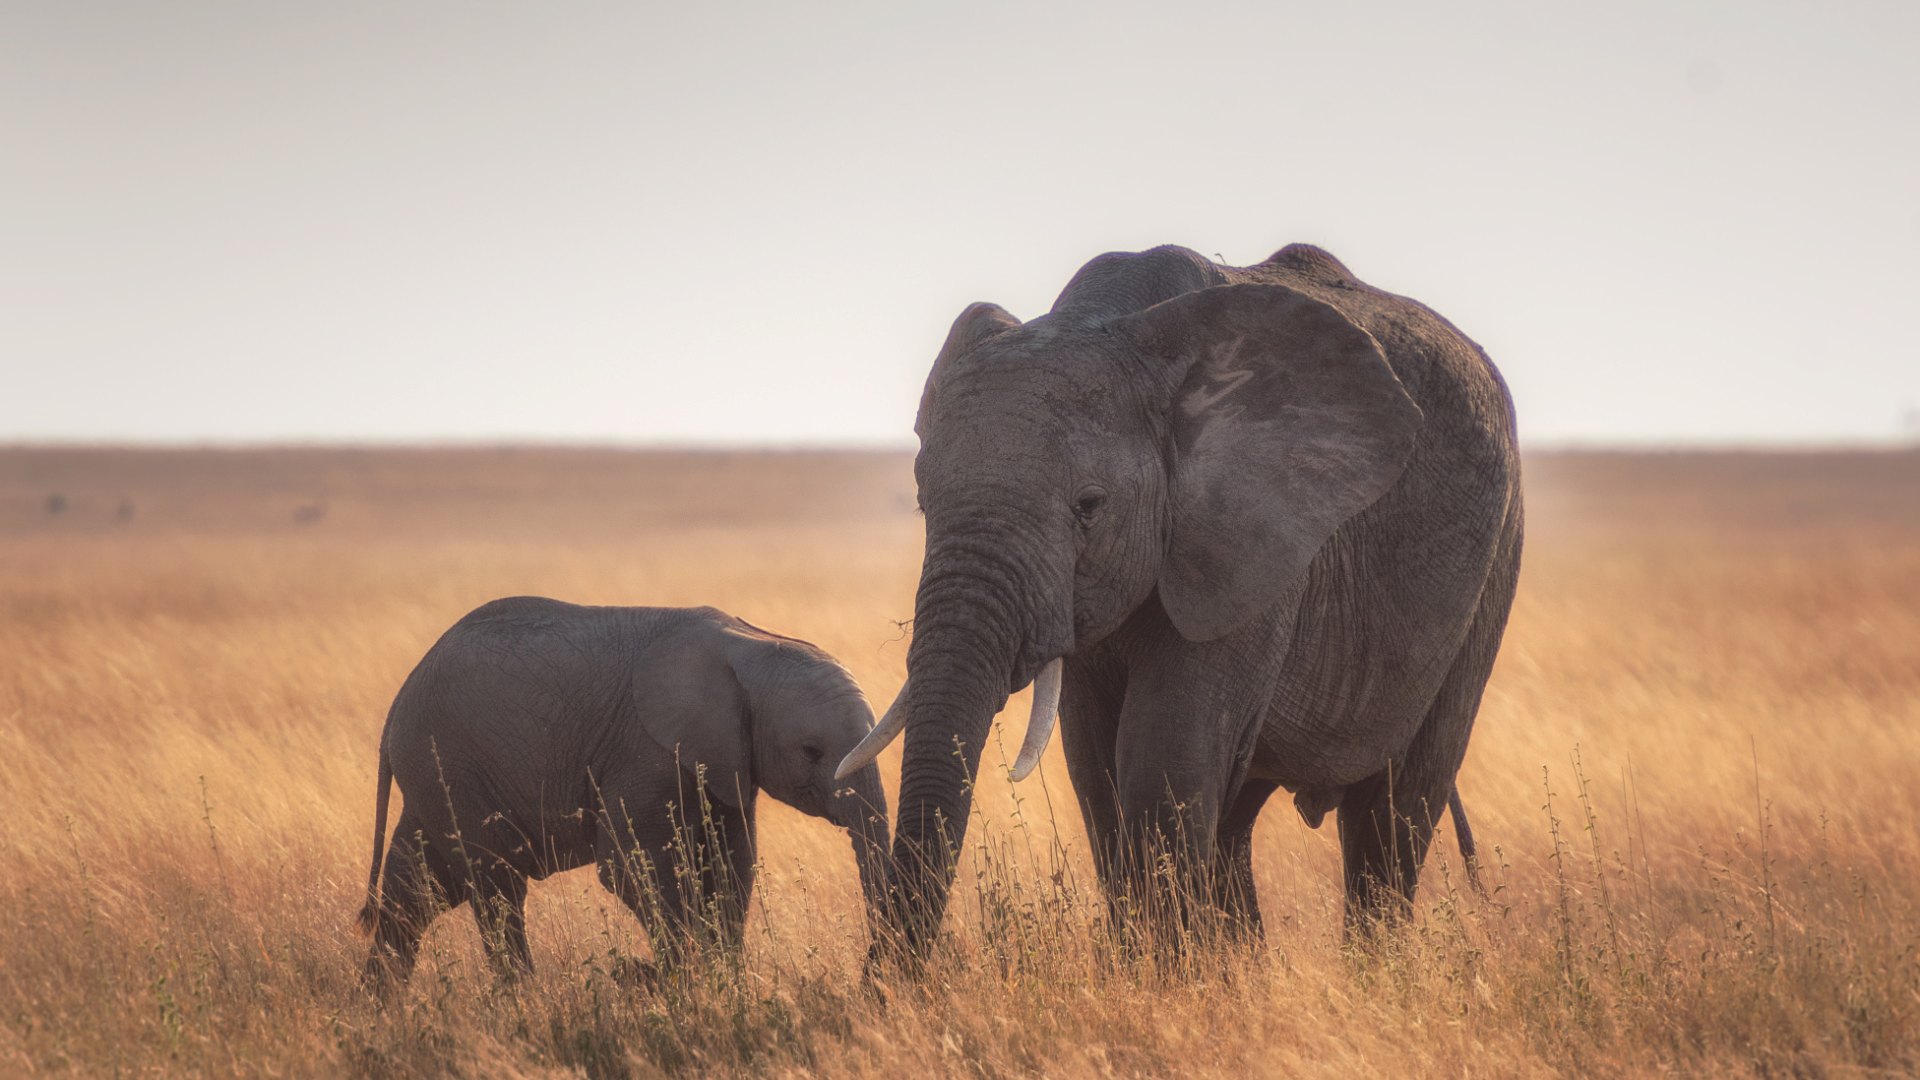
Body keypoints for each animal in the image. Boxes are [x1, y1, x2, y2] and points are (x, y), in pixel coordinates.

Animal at [356, 598, 890, 987]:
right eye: (812, 751)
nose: (872, 975)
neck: (752, 644)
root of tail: (397, 704)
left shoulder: (725, 761)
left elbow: (731, 865)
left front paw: (723, 983)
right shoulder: (643, 751)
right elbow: (633, 869)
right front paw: (682, 985)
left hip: (436, 777)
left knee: (416, 889)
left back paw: (381, 1006)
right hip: (449, 766)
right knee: (495, 886)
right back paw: (524, 1001)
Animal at [839, 242, 1522, 956]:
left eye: (1089, 507)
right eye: (923, 502)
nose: (891, 979)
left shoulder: (1254, 541)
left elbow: (1162, 761)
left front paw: (1163, 974)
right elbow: (1097, 768)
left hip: (1494, 560)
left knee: (1394, 810)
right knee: (1237, 822)